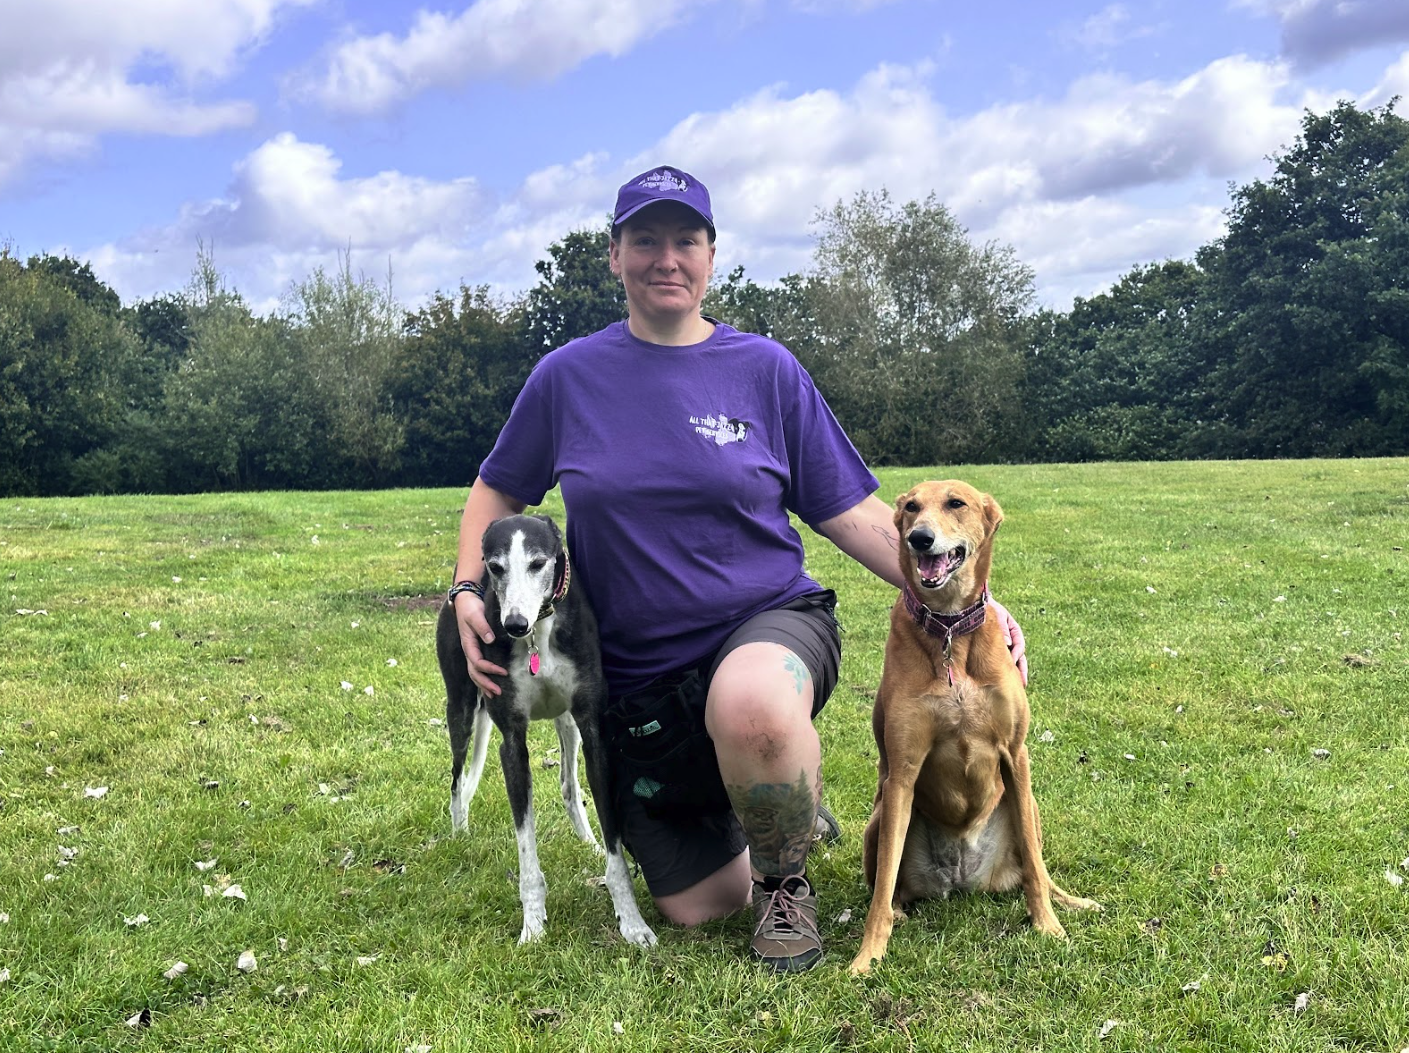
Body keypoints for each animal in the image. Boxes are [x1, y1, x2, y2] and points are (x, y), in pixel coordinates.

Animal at [431, 515, 656, 952]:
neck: (541, 631)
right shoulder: (512, 743)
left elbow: (615, 847)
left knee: (569, 785)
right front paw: (533, 926)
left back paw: (587, 841)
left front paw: (633, 923)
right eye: (495, 566)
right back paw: (460, 834)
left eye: (538, 563)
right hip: (462, 710)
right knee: (457, 780)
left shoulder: (593, 729)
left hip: (567, 723)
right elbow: (526, 851)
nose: (514, 625)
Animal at [845, 482, 1099, 975]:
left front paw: (1048, 926)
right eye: (911, 507)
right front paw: (868, 956)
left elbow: (1035, 866)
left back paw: (1071, 902)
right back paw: (900, 913)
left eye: (955, 503)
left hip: (1028, 806)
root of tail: (960, 879)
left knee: (1037, 865)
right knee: (890, 884)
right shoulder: (902, 771)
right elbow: (882, 887)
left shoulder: (1015, 755)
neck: (949, 631)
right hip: (879, 818)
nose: (919, 538)